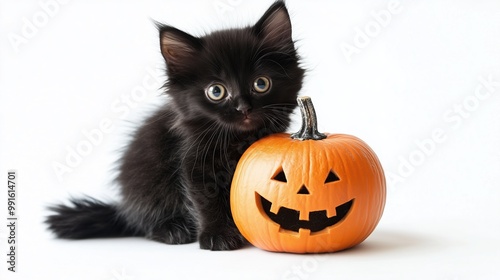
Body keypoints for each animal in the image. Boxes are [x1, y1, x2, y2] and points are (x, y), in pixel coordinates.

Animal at [47, 0, 304, 249]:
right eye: (216, 91)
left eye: (261, 84)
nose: (243, 108)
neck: (239, 139)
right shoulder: (193, 161)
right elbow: (206, 201)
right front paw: (217, 235)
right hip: (145, 184)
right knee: (144, 223)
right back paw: (172, 229)